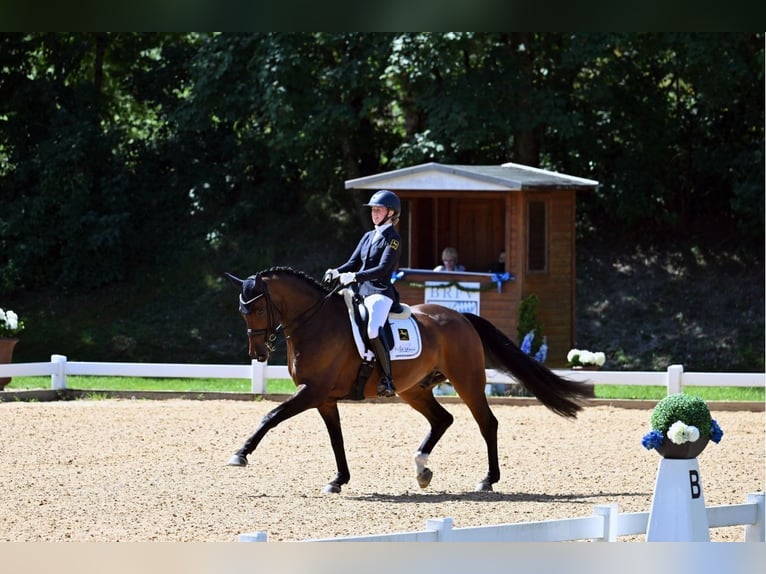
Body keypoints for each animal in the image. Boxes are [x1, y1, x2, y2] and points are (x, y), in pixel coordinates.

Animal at [222, 268, 592, 498]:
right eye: (241, 312)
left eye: (256, 310)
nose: (258, 354)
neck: (315, 322)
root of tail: (460, 316)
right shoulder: (324, 398)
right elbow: (336, 439)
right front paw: (338, 480)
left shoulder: (312, 392)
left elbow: (271, 416)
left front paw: (240, 454)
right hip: (413, 388)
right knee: (442, 419)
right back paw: (422, 469)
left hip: (467, 381)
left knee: (487, 422)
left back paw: (488, 479)